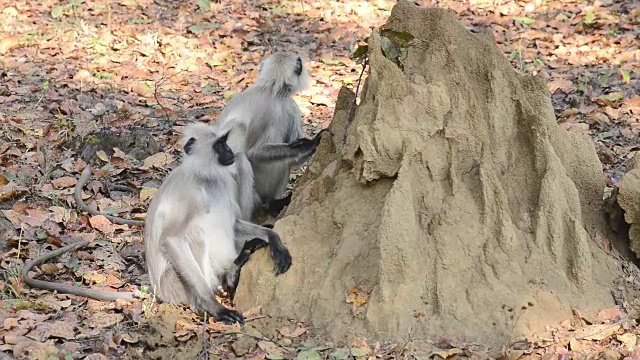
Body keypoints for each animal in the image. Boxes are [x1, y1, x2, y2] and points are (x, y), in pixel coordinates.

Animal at [144, 121, 292, 324]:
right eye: (219, 145)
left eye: (225, 141)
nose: (230, 151)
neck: (206, 179)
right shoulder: (187, 194)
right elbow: (171, 239)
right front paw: (214, 306)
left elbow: (234, 223)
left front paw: (274, 239)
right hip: (172, 284)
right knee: (195, 234)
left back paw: (234, 269)